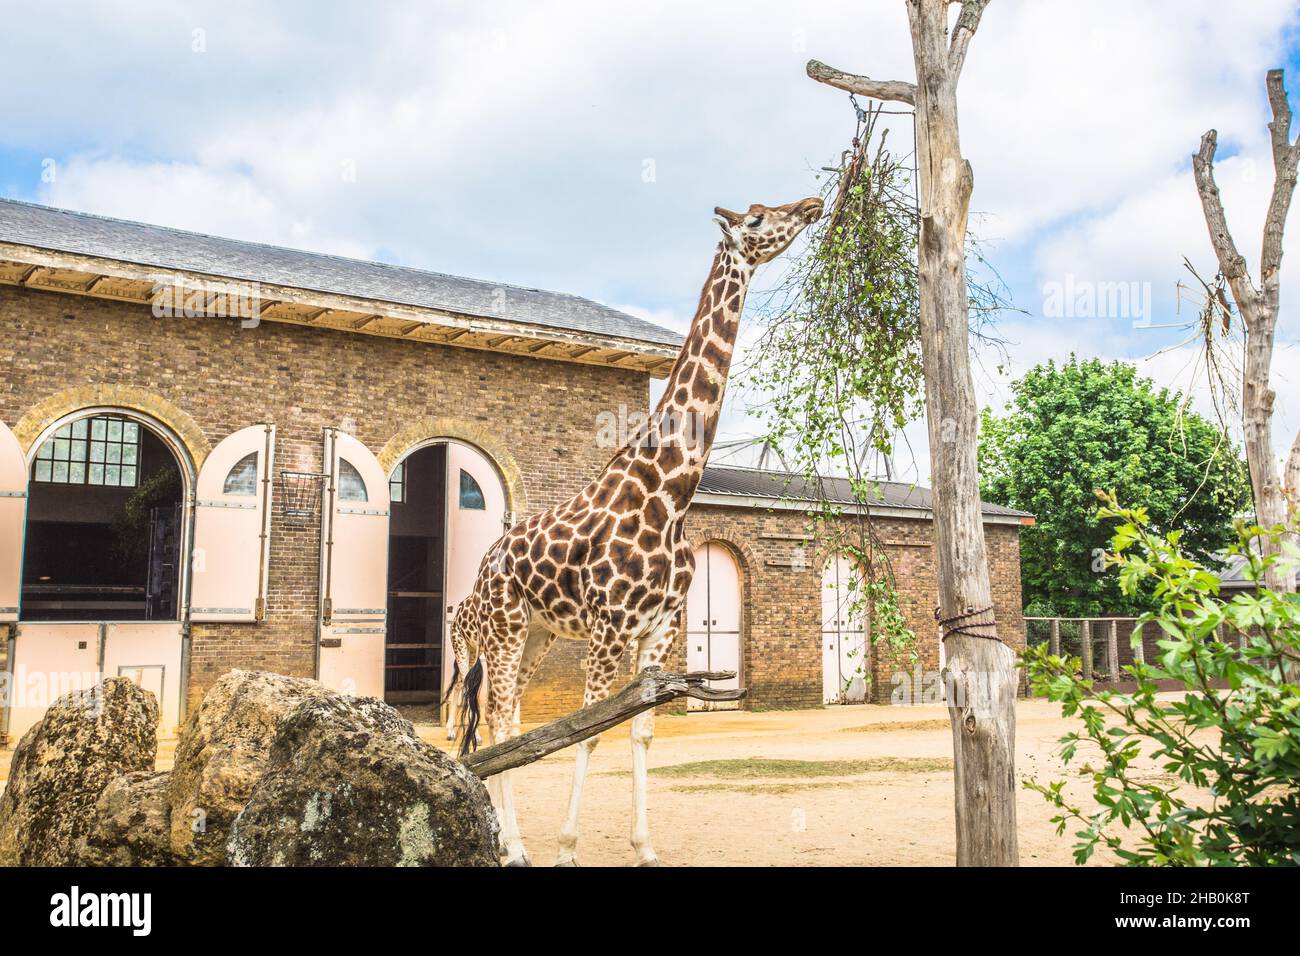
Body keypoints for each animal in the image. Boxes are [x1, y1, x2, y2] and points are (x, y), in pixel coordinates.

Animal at [445, 195, 823, 866]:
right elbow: (588, 732)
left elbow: (642, 733)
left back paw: (513, 839)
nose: (810, 204)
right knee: (497, 717)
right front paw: (568, 847)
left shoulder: (660, 631)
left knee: (508, 715)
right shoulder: (609, 628)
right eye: (755, 220)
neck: (670, 492)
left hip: (539, 636)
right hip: (503, 631)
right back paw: (514, 847)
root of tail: (485, 564)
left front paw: (644, 846)